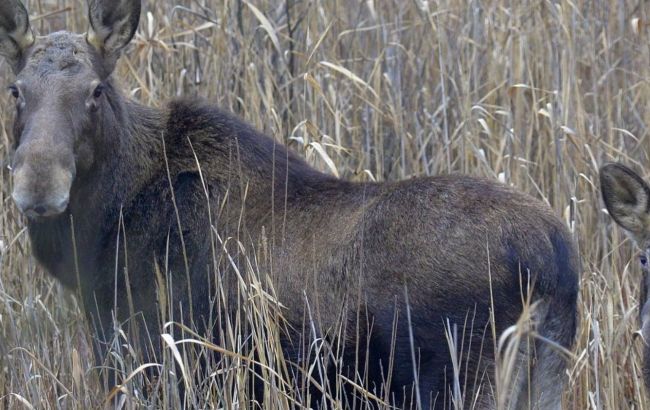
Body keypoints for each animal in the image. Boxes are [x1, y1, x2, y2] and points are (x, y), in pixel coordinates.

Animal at [0, 0, 576, 408]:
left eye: (96, 90)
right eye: (15, 89)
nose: (38, 184)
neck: (103, 230)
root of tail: (557, 259)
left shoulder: (159, 358)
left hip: (464, 380)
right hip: (543, 378)